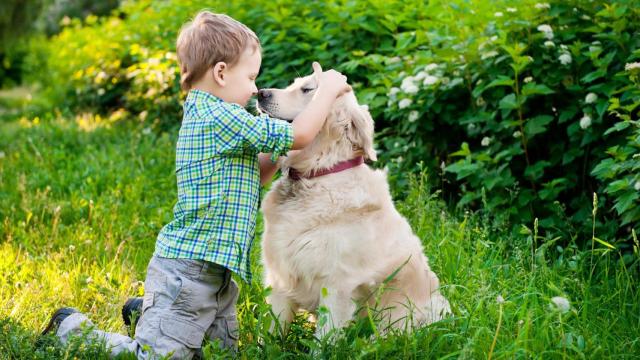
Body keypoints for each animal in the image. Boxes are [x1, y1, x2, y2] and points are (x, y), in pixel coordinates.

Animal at [255, 62, 450, 338]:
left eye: (308, 89)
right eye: (294, 84)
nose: (260, 93)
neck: (317, 174)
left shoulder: (336, 285)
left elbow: (323, 339)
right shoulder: (280, 277)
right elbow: (270, 332)